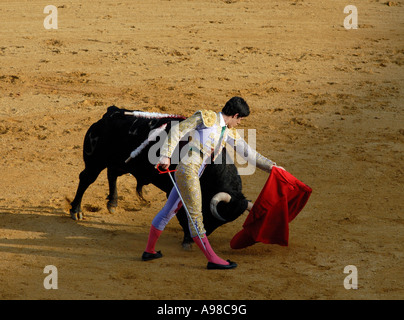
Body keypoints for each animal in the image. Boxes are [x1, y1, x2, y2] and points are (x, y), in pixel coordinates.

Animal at [71, 106, 251, 246]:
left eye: (221, 223)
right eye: (212, 216)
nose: (202, 235)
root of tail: (110, 114)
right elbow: (183, 211)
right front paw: (187, 237)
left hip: (120, 162)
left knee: (112, 173)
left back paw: (112, 203)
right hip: (95, 161)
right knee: (86, 178)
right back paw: (76, 211)